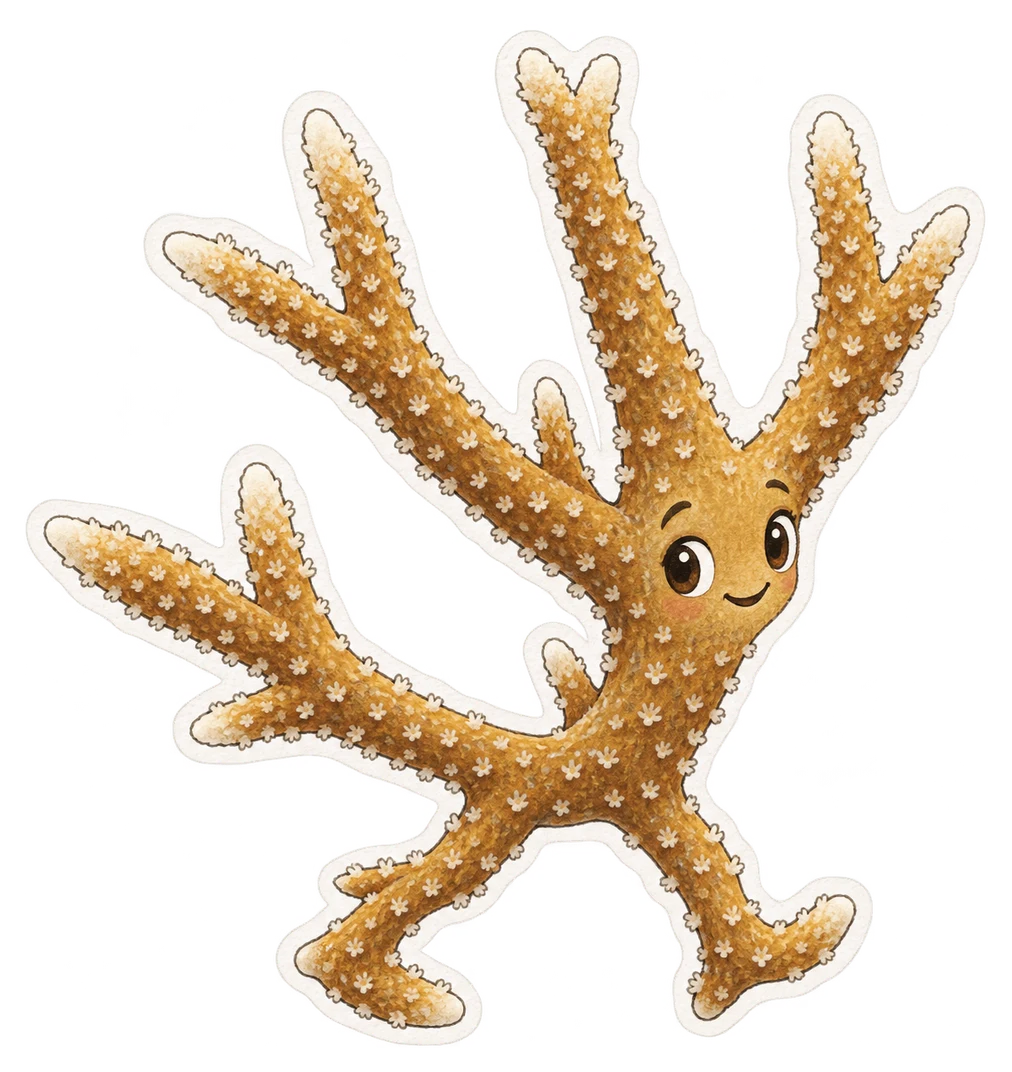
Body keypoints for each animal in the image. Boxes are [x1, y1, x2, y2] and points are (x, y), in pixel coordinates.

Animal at [27, 33, 982, 1040]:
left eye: (777, 538)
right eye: (681, 564)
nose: (746, 589)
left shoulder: (643, 787)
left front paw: (775, 960)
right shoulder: (584, 785)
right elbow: (346, 948)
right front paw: (390, 988)